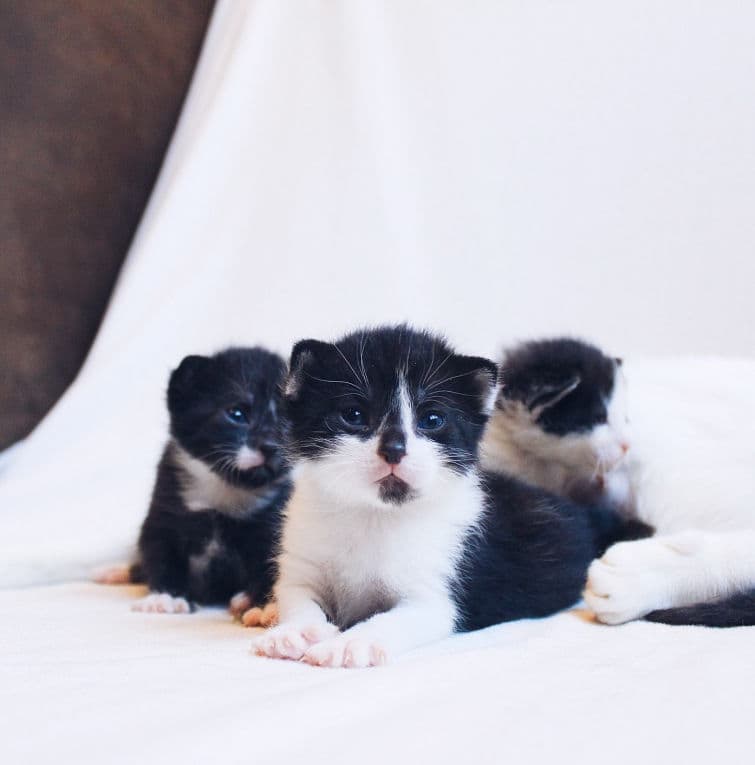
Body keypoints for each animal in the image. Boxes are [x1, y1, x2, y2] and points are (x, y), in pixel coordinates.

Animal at [124, 346, 290, 616]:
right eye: (237, 414)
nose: (271, 446)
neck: (224, 488)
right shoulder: (163, 513)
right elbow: (160, 554)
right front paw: (166, 597)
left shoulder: (271, 521)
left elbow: (272, 563)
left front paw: (263, 606)